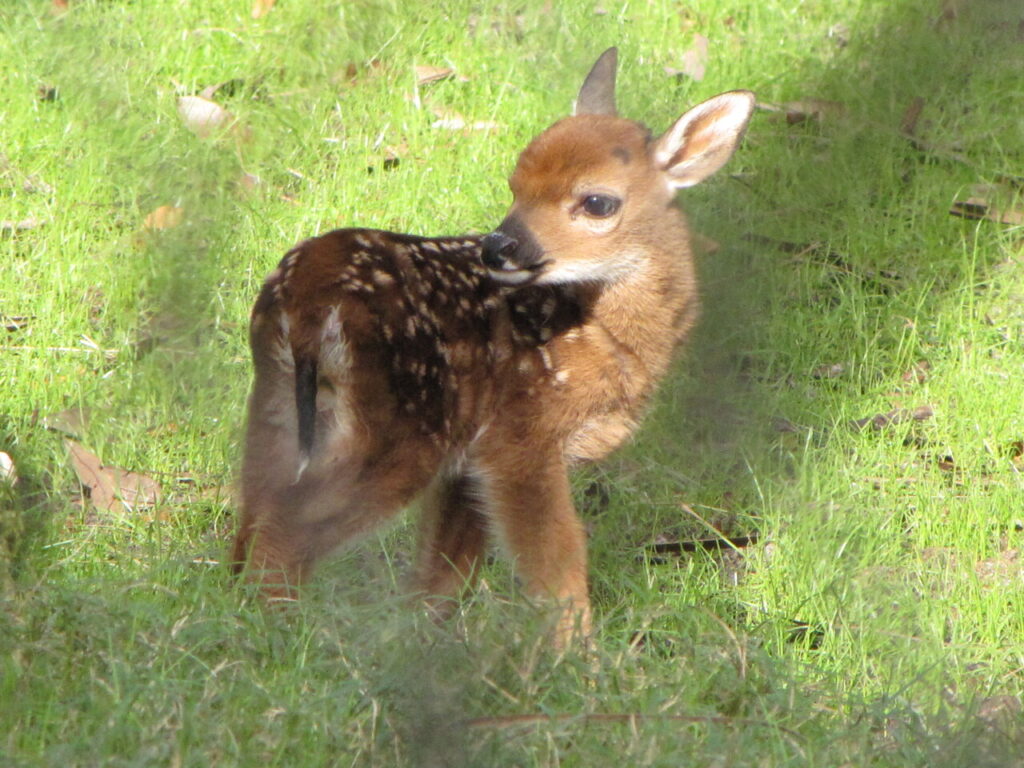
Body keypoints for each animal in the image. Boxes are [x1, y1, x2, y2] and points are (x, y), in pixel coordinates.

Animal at [231, 48, 755, 646]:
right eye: (516, 183)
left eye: (598, 202)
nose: (498, 246)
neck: (611, 339)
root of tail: (304, 299)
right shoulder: (520, 437)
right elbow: (557, 556)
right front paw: (576, 652)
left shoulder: (469, 459)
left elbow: (445, 571)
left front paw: (423, 640)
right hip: (401, 427)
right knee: (284, 531)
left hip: (278, 406)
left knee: (251, 516)